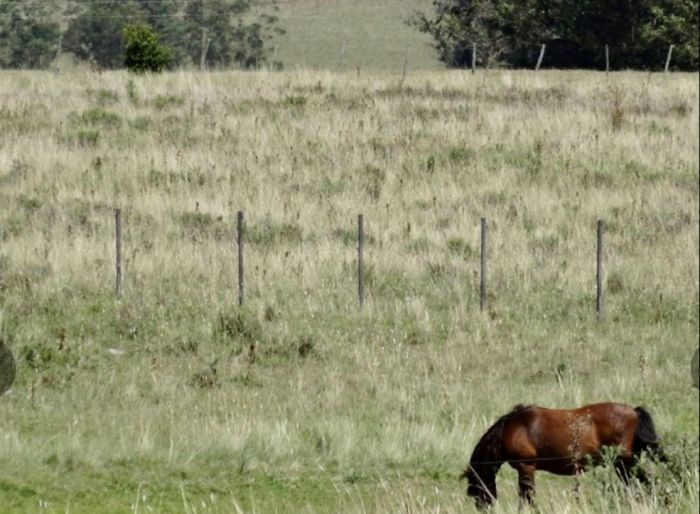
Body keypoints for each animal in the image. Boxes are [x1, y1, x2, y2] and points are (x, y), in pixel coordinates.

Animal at [462, 402, 664, 506]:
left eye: (477, 489)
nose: (483, 508)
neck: (513, 428)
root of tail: (634, 412)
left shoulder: (526, 467)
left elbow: (527, 498)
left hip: (624, 463)